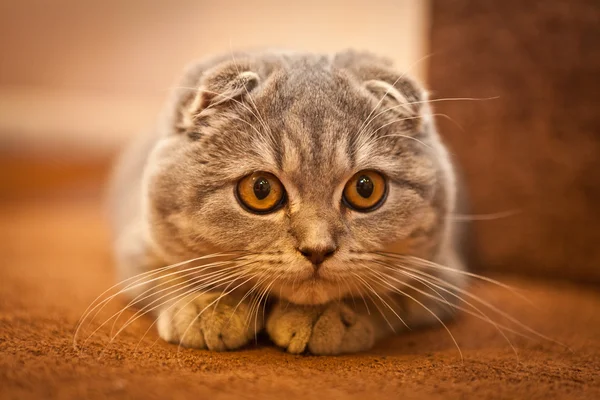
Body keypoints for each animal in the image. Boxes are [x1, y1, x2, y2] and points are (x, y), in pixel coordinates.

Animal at [106, 50, 464, 356]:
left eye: (366, 188)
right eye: (260, 190)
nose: (317, 250)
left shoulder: (441, 275)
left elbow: (388, 296)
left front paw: (324, 318)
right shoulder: (137, 246)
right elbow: (165, 273)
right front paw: (208, 307)